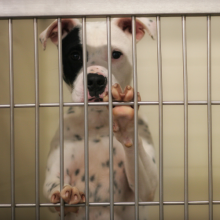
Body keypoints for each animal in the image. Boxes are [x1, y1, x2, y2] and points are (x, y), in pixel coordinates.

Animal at [40, 17, 158, 220]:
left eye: (116, 54)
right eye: (75, 55)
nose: (95, 80)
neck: (97, 120)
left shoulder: (147, 186)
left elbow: (145, 179)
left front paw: (126, 123)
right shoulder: (53, 174)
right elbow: (52, 188)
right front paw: (66, 192)